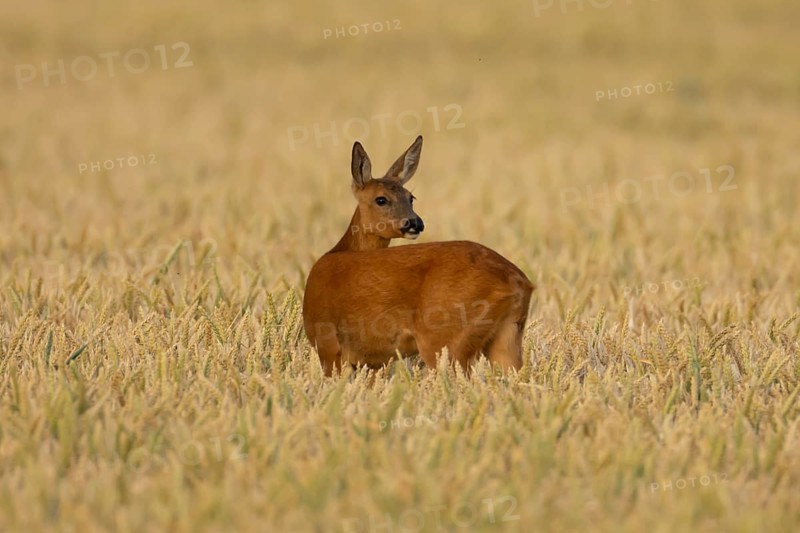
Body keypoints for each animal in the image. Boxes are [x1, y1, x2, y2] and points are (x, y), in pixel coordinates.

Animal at [302, 136, 534, 377]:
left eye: (410, 197)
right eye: (381, 199)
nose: (415, 222)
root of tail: (517, 282)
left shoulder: (327, 344)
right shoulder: (374, 361)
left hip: (445, 341)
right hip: (507, 334)